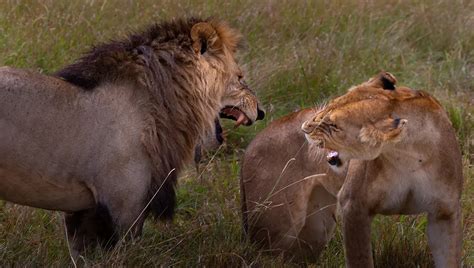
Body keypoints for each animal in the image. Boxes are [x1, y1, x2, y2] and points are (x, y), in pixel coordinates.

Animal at [304, 72, 462, 266]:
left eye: (334, 126)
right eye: (330, 105)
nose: (304, 128)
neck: (409, 158)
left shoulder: (445, 213)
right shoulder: (353, 205)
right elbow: (361, 259)